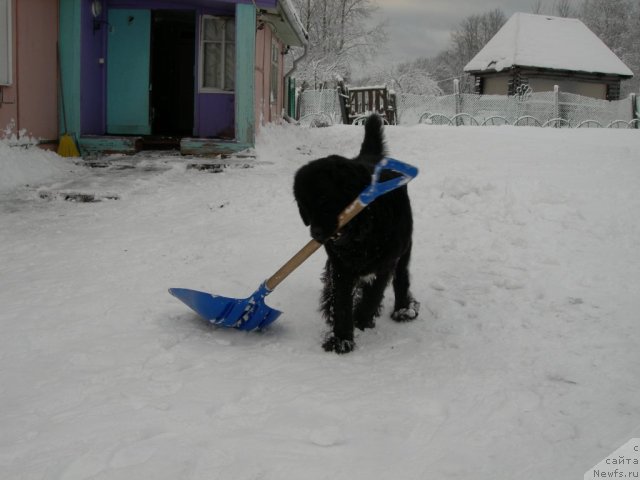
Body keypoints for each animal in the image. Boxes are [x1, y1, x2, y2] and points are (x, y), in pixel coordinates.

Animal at [292, 113, 418, 352]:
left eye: (325, 201)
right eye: (304, 207)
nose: (317, 234)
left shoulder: (385, 262)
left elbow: (373, 293)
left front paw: (361, 318)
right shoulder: (340, 265)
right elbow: (341, 300)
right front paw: (341, 338)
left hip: (404, 248)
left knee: (401, 276)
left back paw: (403, 309)